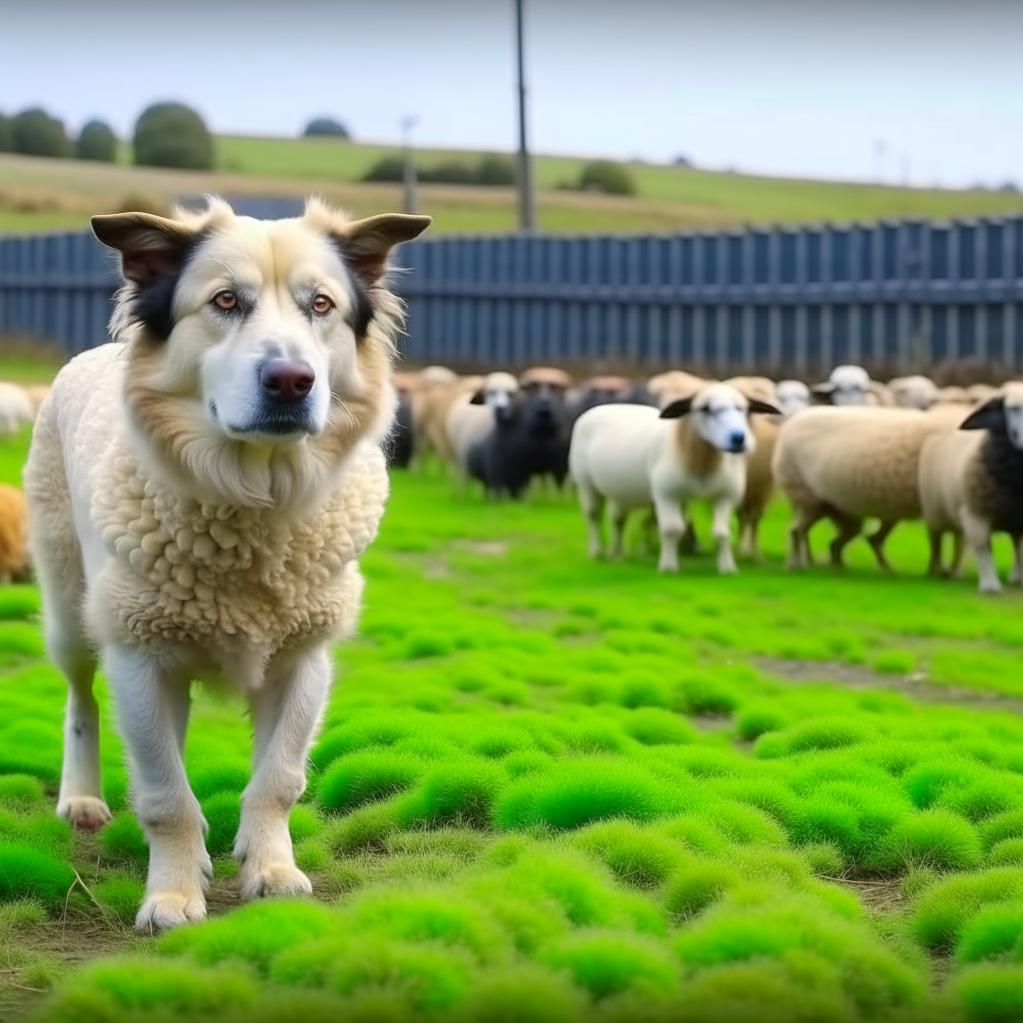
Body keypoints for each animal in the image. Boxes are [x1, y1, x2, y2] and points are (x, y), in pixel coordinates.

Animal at [23, 195, 431, 932]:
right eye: (224, 301)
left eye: (321, 304)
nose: (292, 380)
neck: (254, 497)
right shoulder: (138, 659)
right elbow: (165, 797)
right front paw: (172, 896)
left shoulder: (303, 661)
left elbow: (277, 780)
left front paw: (271, 870)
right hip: (71, 612)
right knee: (80, 698)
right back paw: (82, 798)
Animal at [568, 384, 773, 576]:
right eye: (705, 408)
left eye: (743, 408)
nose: (738, 438)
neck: (702, 466)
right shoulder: (667, 494)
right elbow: (671, 529)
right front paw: (668, 567)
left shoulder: (725, 496)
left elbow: (721, 533)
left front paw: (727, 568)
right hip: (586, 484)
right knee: (593, 516)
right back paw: (597, 552)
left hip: (619, 492)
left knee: (618, 520)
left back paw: (618, 553)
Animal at [773, 403, 965, 572]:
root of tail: (792, 421)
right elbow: (945, 542)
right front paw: (942, 570)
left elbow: (954, 542)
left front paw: (947, 570)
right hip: (807, 496)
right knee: (799, 531)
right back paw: (799, 564)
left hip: (835, 509)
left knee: (846, 540)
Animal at [920, 382, 1023, 593]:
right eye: (1012, 408)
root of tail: (949, 407)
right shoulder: (976, 513)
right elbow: (983, 547)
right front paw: (990, 586)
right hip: (935, 511)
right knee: (937, 540)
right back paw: (937, 570)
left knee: (1015, 541)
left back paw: (1015, 577)